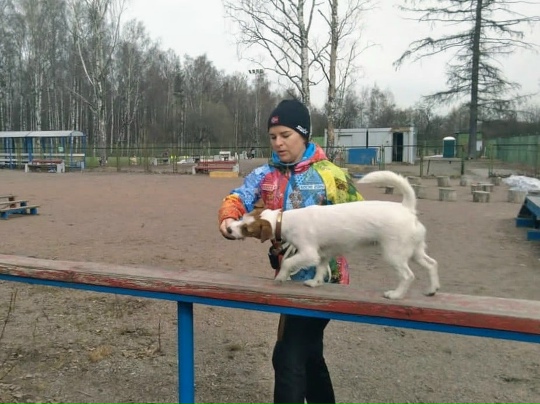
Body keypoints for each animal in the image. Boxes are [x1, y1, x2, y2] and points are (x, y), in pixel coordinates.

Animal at [226, 171, 440, 299]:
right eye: (242, 218)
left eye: (246, 229)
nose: (229, 229)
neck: (285, 220)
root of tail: (407, 208)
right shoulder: (323, 254)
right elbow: (321, 270)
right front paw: (315, 283)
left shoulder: (309, 253)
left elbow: (287, 262)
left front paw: (281, 277)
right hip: (415, 251)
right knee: (431, 264)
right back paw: (432, 289)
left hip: (394, 254)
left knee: (408, 275)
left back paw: (395, 294)